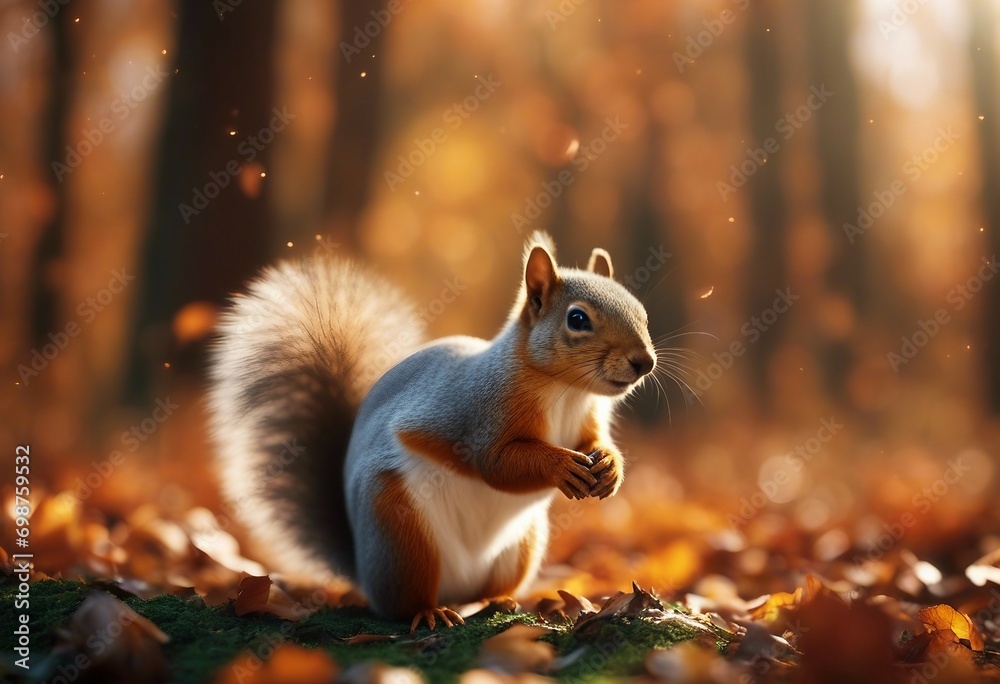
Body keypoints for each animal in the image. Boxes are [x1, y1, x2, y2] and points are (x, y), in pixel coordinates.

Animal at [207, 231, 656, 631]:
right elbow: (497, 463)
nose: (644, 362)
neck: (567, 392)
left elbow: (593, 444)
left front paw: (610, 467)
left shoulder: (588, 420)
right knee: (405, 601)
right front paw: (561, 465)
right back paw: (429, 613)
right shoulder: (481, 415)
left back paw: (500, 599)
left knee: (487, 590)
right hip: (402, 533)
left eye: (642, 311)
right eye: (577, 319)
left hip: (521, 546)